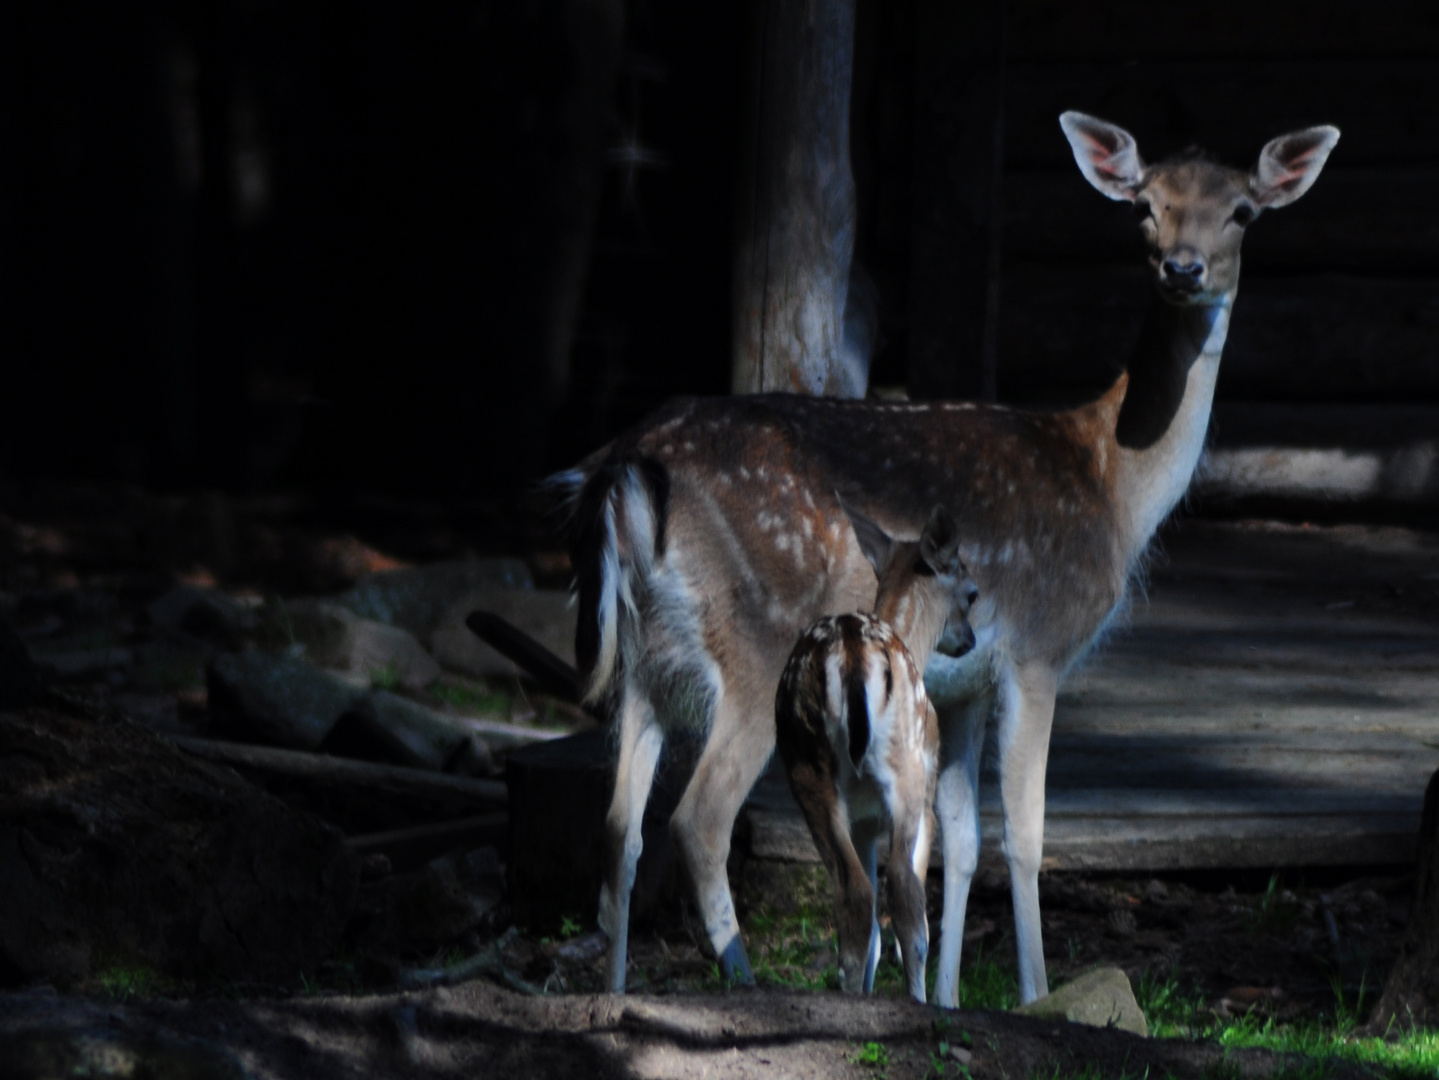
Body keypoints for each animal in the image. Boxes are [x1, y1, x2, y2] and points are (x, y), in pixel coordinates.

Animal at [566, 112, 1341, 1006]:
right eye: (1143, 206)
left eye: (1242, 211)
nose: (1182, 268)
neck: (1112, 486)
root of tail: (625, 469)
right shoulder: (1039, 647)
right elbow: (1026, 834)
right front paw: (1035, 995)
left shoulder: (963, 686)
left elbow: (960, 840)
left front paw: (943, 998)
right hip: (753, 640)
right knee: (698, 820)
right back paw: (746, 984)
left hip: (644, 658)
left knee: (618, 832)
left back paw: (617, 990)